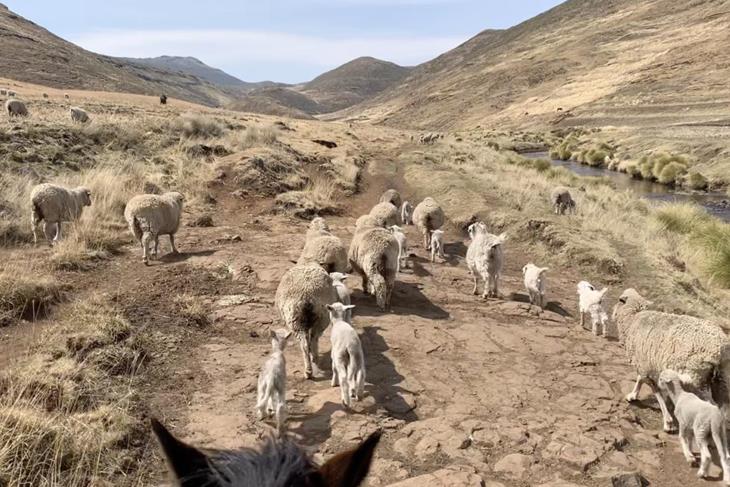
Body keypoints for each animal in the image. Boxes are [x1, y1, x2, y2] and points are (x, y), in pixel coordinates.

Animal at [612, 288, 730, 433]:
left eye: (619, 300)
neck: (632, 319)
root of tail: (719, 348)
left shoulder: (647, 366)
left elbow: (656, 391)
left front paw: (668, 422)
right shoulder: (646, 363)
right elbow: (642, 380)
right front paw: (633, 395)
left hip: (696, 377)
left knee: (709, 405)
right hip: (720, 378)